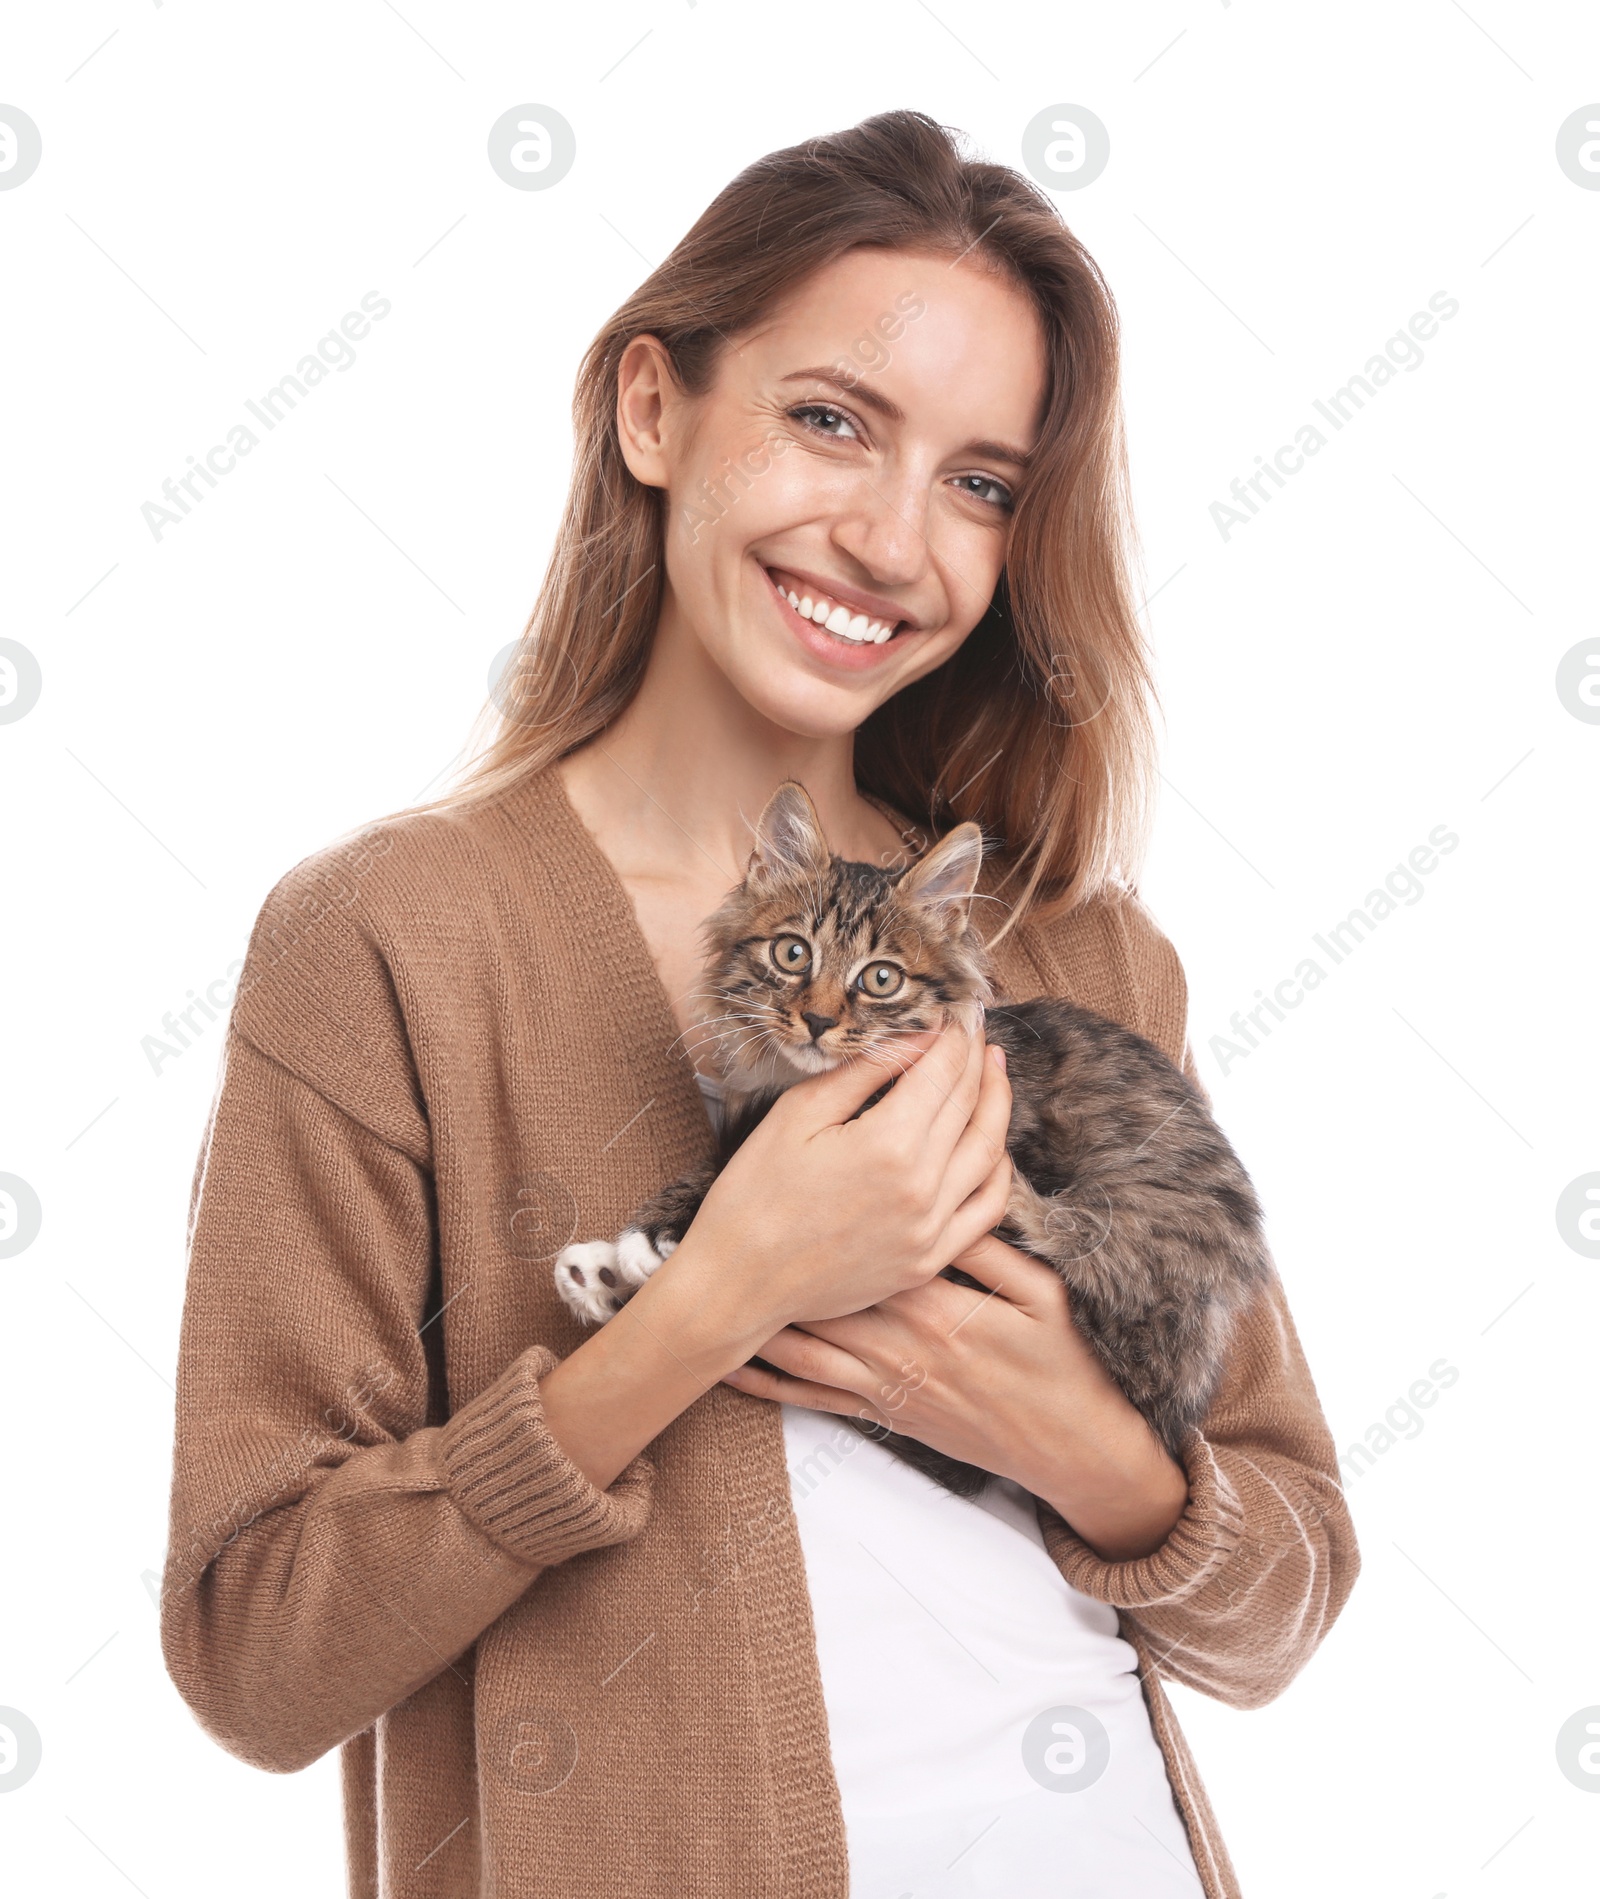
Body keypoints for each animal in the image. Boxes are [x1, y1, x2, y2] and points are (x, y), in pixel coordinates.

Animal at [558, 778, 1267, 1488]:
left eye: (881, 978)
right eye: (793, 953)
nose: (818, 1021)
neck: (796, 1083)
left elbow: (733, 1178)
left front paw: (651, 1240)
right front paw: (620, 1260)